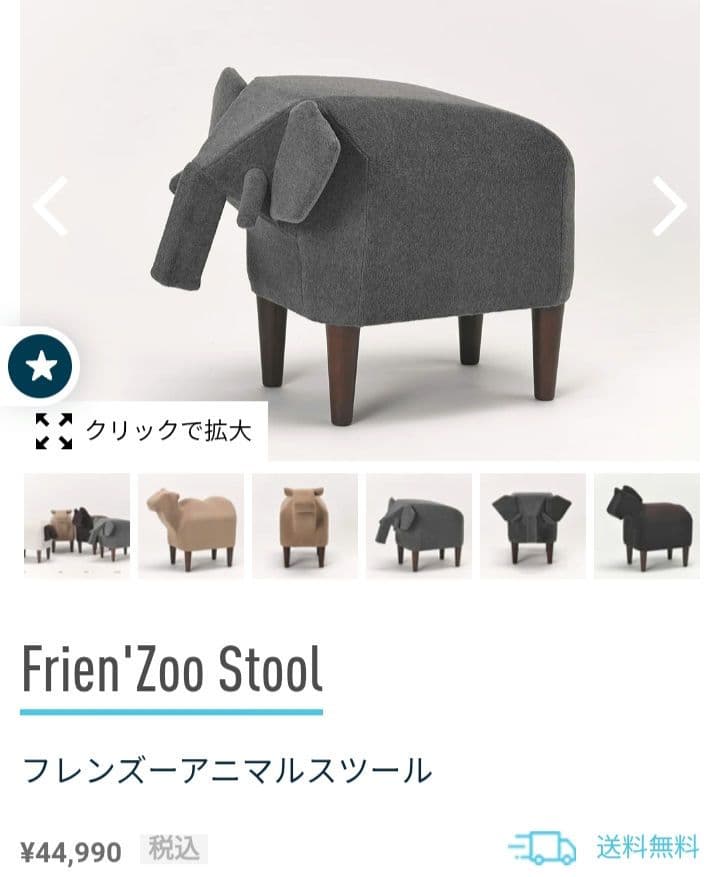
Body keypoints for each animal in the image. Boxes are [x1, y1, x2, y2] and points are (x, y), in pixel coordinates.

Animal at [151, 71, 574, 425]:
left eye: (249, 153)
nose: (165, 279)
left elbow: (342, 344)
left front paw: (341, 421)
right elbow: (269, 311)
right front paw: (271, 384)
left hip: (550, 285)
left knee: (549, 316)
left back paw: (544, 395)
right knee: (472, 314)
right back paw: (469, 363)